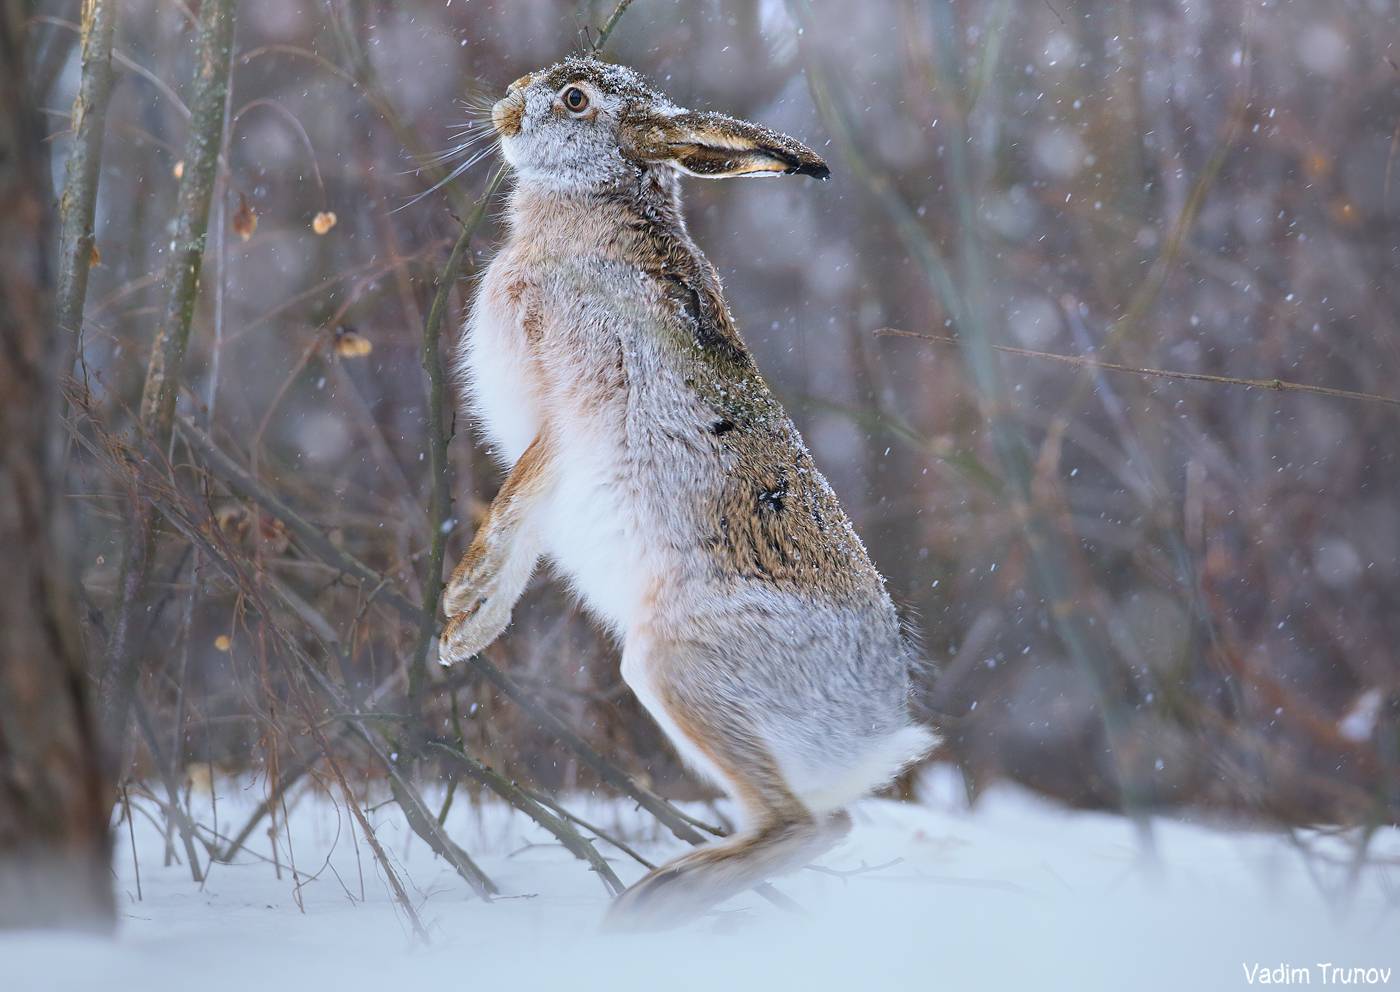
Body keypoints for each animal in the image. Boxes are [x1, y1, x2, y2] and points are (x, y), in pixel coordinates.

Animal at [439, 55, 936, 930]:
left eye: (575, 101)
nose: (503, 110)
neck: (595, 204)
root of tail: (874, 730)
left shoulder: (572, 403)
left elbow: (516, 501)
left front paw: (459, 602)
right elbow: (525, 531)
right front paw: (470, 633)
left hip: (676, 666)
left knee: (806, 825)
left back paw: (657, 901)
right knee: (827, 822)